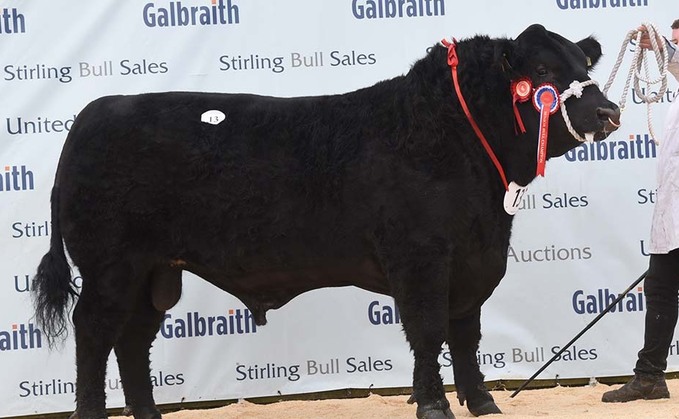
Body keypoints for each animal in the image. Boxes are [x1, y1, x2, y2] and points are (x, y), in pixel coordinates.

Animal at [33, 23, 620, 419]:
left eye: (584, 68)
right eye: (542, 72)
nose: (609, 112)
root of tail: (93, 114)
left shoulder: (474, 261)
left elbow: (466, 334)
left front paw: (481, 404)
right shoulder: (421, 258)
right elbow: (429, 331)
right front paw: (434, 405)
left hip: (155, 272)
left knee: (133, 339)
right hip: (111, 266)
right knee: (94, 331)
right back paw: (91, 411)